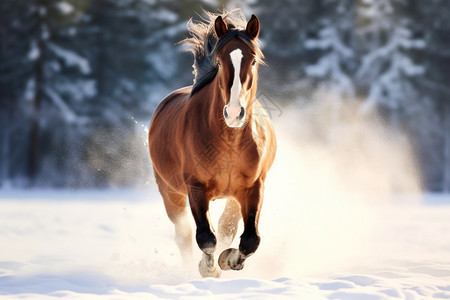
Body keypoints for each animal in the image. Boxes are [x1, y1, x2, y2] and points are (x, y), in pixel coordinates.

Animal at [149, 10, 274, 278]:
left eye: (253, 61)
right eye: (219, 61)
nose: (234, 113)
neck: (229, 141)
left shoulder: (253, 187)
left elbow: (250, 239)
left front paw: (228, 260)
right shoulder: (196, 188)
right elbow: (206, 237)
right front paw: (209, 269)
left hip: (234, 196)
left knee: (226, 226)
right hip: (170, 192)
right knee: (184, 235)